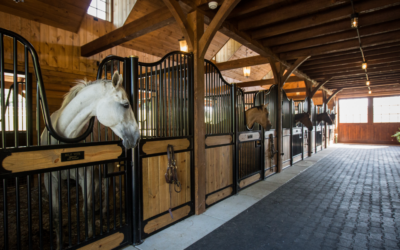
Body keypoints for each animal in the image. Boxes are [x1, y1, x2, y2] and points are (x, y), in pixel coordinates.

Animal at [40, 72, 140, 248]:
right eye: (126, 104)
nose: (137, 137)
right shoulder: (51, 180)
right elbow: (57, 214)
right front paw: (59, 244)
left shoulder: (85, 176)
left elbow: (86, 208)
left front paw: (91, 237)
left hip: (108, 166)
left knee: (106, 185)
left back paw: (104, 211)